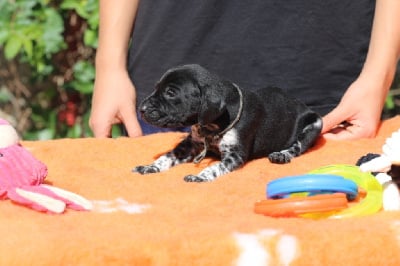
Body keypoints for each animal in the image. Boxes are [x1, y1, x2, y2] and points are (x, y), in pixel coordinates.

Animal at [134, 63, 322, 182]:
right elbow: (168, 156)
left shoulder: (234, 155)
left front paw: (200, 177)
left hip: (315, 123)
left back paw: (282, 155)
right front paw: (150, 167)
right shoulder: (190, 144)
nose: (141, 109)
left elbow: (214, 167)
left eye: (171, 93)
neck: (212, 127)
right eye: (156, 88)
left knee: (298, 147)